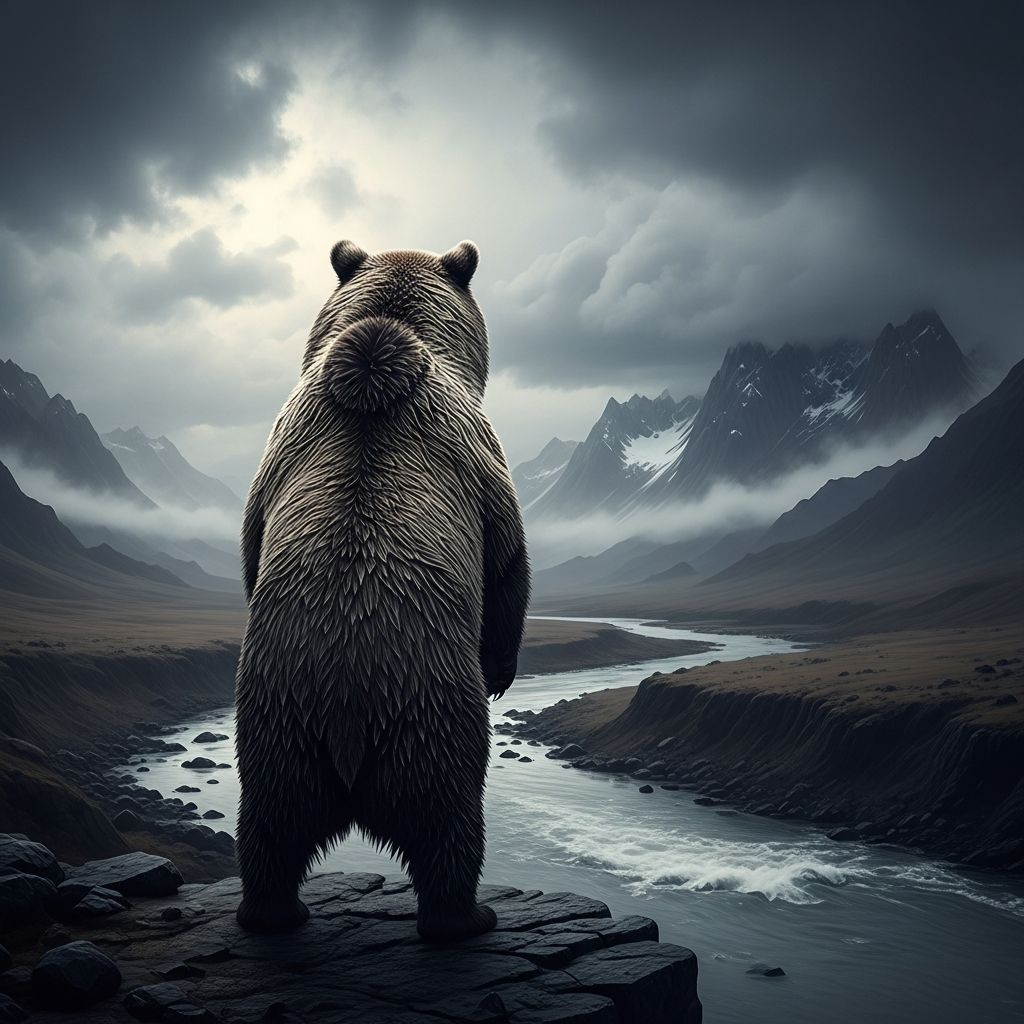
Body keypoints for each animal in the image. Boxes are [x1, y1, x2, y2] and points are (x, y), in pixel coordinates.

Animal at [234, 239, 530, 941]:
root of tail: (346, 720)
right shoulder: (476, 452)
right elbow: (507, 558)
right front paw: (502, 668)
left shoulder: (278, 450)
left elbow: (251, 542)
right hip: (426, 717)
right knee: (449, 821)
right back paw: (466, 916)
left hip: (279, 726)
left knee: (269, 827)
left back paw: (272, 911)